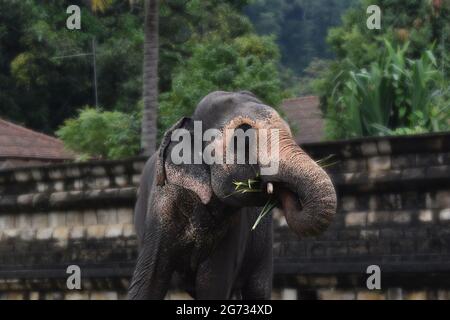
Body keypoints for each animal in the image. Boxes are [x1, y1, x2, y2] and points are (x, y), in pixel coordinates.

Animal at [125, 90, 334, 300]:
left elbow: (213, 285)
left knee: (258, 289)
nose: (281, 188)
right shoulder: (161, 208)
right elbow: (148, 279)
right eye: (244, 135)